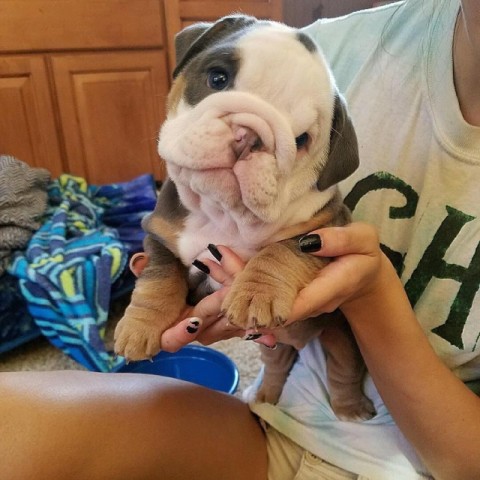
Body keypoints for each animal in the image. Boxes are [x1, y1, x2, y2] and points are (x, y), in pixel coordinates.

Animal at [115, 15, 376, 420]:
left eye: (302, 139)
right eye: (217, 78)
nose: (248, 133)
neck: (223, 213)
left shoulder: (327, 227)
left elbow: (283, 251)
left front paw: (258, 292)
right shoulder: (158, 233)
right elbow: (158, 276)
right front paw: (139, 325)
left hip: (341, 335)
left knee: (343, 369)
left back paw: (351, 408)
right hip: (275, 344)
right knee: (278, 362)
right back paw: (266, 395)